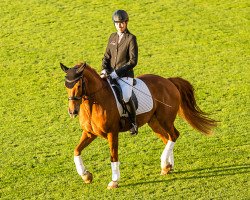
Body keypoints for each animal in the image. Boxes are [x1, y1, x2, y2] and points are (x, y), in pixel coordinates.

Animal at [60, 62, 217, 189]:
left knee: (174, 136)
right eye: (66, 86)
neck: (93, 104)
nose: (72, 111)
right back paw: (168, 166)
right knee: (167, 138)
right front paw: (86, 175)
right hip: (154, 122)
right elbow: (76, 151)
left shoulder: (112, 133)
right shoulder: (89, 133)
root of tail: (168, 81)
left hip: (165, 120)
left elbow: (113, 156)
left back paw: (164, 164)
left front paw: (114, 182)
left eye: (78, 85)